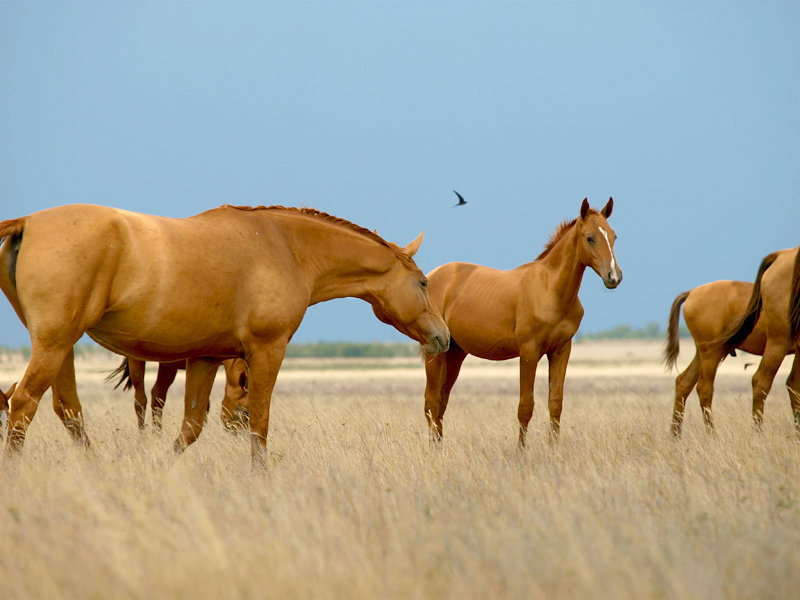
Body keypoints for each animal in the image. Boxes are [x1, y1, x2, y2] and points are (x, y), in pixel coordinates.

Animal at [108, 356, 248, 432]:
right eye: (244, 412)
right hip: (137, 360)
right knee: (140, 401)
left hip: (167, 365)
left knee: (157, 396)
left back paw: (157, 435)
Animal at [422, 198, 620, 446]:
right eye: (590, 237)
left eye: (613, 236)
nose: (613, 277)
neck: (550, 290)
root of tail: (430, 278)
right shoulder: (529, 353)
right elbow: (525, 407)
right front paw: (521, 451)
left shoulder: (561, 351)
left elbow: (555, 404)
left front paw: (554, 450)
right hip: (435, 355)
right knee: (431, 403)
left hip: (455, 353)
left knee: (441, 402)